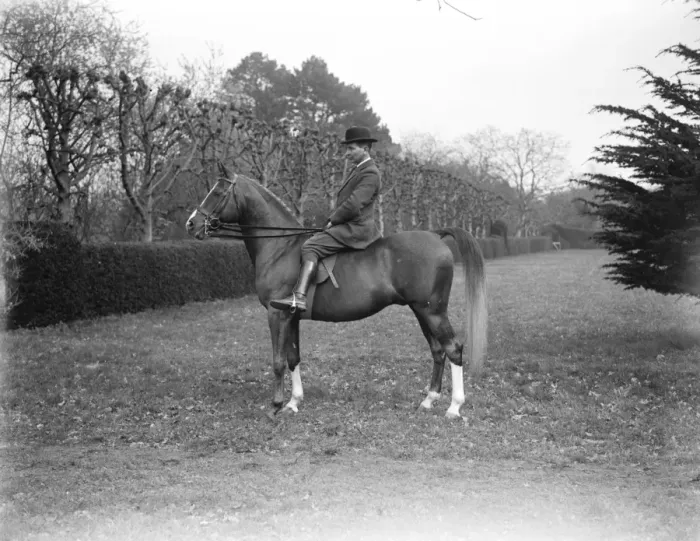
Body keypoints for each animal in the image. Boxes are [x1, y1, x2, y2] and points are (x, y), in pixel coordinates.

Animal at [185, 171, 488, 419]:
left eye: (218, 192)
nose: (191, 224)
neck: (281, 247)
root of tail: (435, 235)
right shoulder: (291, 317)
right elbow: (293, 358)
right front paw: (294, 402)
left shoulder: (276, 315)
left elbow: (278, 361)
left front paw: (275, 406)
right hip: (421, 311)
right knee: (438, 350)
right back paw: (429, 400)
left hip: (432, 311)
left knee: (453, 348)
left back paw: (454, 407)